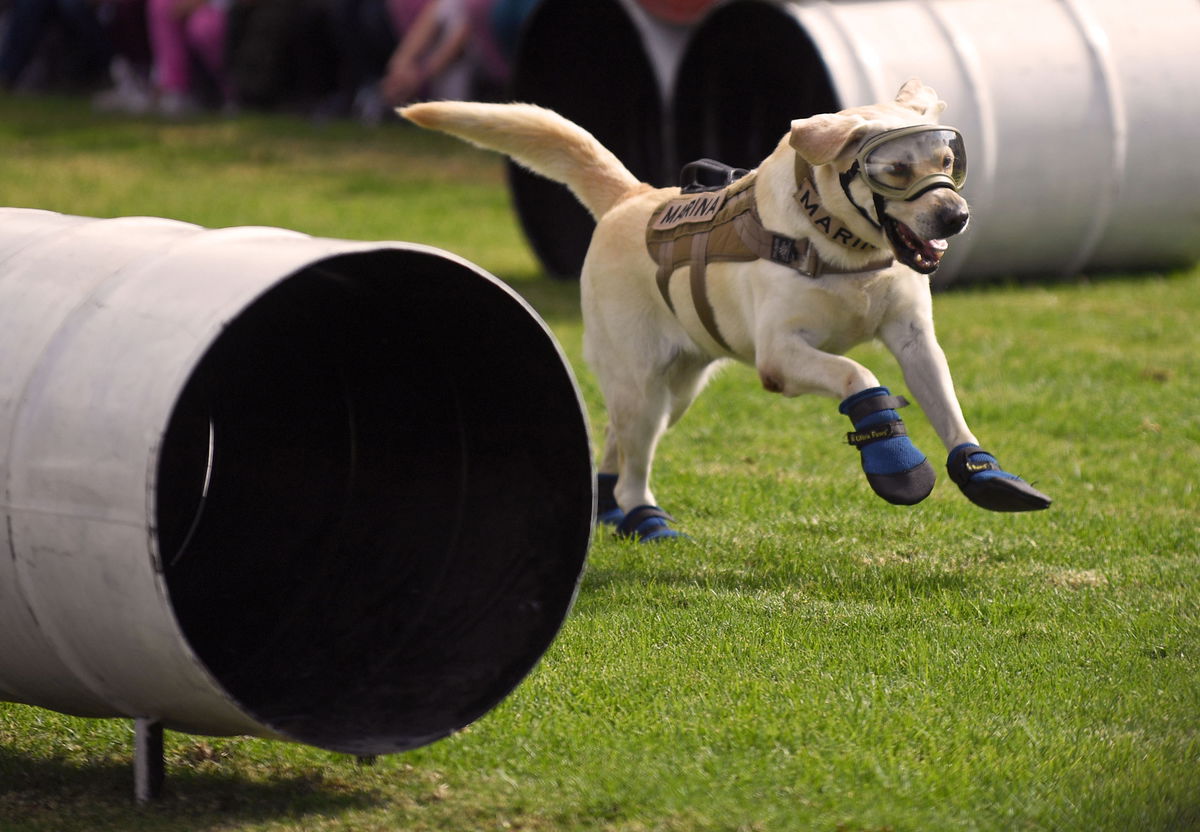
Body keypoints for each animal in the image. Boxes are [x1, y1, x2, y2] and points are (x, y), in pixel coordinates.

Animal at [403, 81, 1051, 542]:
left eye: (948, 158)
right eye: (892, 169)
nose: (956, 216)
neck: (843, 247)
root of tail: (633, 197)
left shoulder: (916, 338)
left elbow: (947, 406)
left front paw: (984, 472)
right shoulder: (779, 355)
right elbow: (858, 374)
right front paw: (894, 457)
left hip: (677, 392)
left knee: (615, 439)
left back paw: (611, 509)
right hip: (644, 385)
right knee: (634, 460)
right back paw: (642, 517)